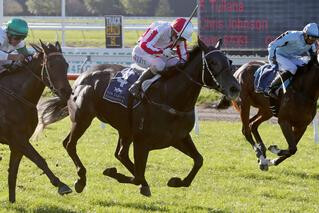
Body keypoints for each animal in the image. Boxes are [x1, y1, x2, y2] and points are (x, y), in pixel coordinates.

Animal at [0, 40, 72, 202]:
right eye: (50, 65)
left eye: (66, 64)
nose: (67, 92)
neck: (18, 97)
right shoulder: (18, 139)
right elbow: (40, 160)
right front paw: (62, 185)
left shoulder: (17, 143)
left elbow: (12, 173)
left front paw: (12, 201)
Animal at [35, 38, 240, 196]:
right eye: (212, 62)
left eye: (229, 61)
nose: (234, 88)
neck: (172, 98)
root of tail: (81, 77)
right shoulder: (142, 142)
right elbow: (139, 175)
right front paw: (115, 174)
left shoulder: (178, 137)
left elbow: (199, 160)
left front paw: (176, 181)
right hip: (82, 118)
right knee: (70, 144)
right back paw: (81, 179)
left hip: (124, 128)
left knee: (120, 153)